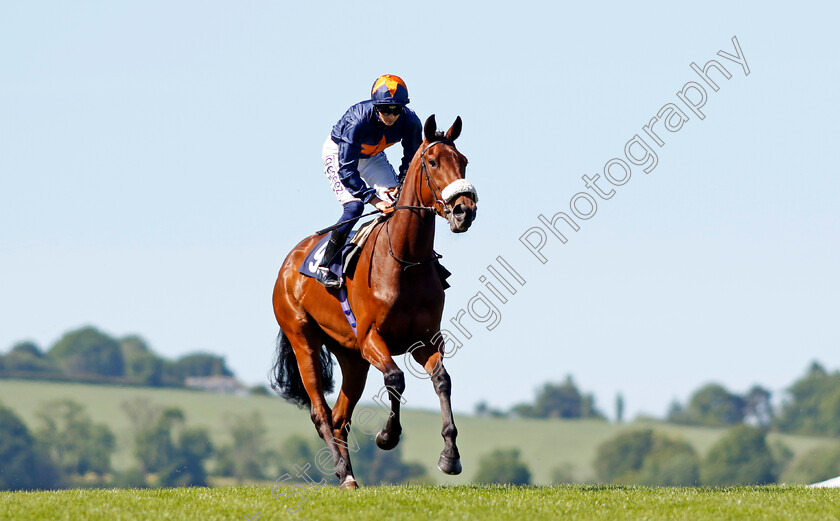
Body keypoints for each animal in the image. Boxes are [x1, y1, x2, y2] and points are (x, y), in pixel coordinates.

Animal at [270, 114, 476, 488]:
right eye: (433, 162)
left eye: (463, 161)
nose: (464, 211)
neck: (404, 261)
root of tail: (289, 264)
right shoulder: (371, 338)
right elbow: (396, 379)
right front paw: (387, 436)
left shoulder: (426, 339)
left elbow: (442, 379)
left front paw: (450, 456)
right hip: (303, 339)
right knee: (321, 412)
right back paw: (342, 472)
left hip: (351, 357)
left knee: (340, 417)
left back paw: (349, 474)